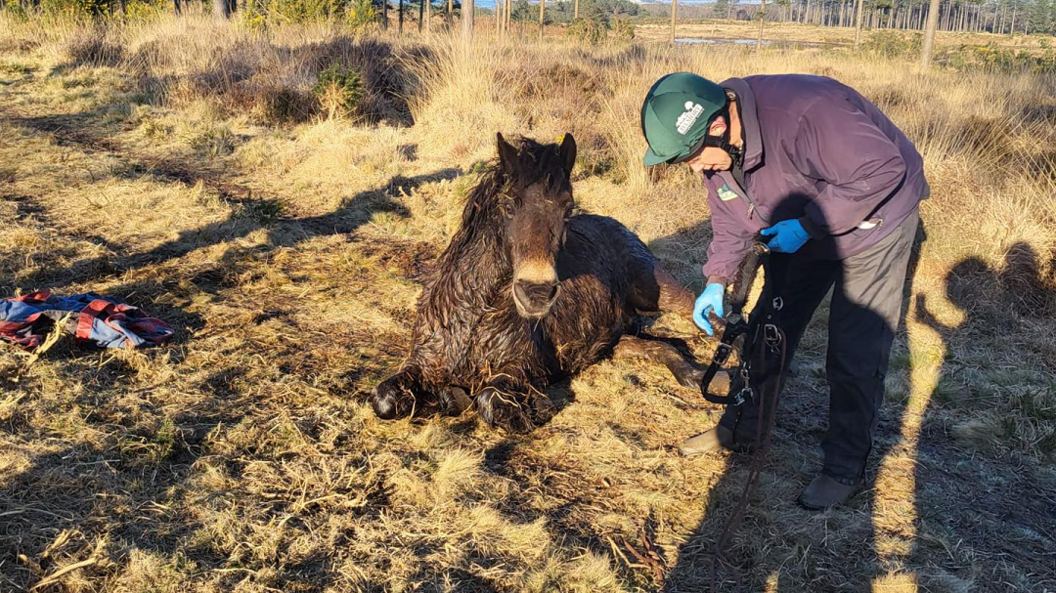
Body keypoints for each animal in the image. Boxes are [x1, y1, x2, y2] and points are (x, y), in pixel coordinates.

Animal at [371, 134, 709, 428]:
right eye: (508, 206)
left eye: (568, 209)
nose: (536, 293)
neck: (471, 318)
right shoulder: (421, 363)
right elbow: (384, 400)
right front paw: (447, 396)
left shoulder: (519, 368)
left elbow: (490, 401)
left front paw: (536, 408)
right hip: (615, 341)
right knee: (661, 348)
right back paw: (692, 374)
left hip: (658, 292)